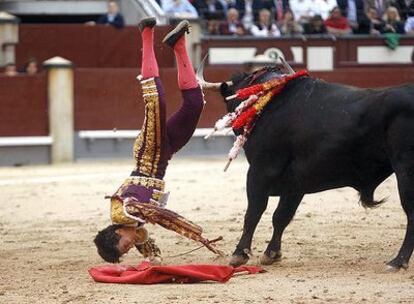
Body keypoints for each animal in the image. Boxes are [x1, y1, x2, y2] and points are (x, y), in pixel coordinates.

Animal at [217, 68, 414, 270]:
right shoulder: (295, 183)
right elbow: (281, 216)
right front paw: (272, 253)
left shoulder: (260, 171)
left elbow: (253, 213)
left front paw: (239, 254)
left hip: (405, 169)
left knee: (411, 212)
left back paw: (398, 261)